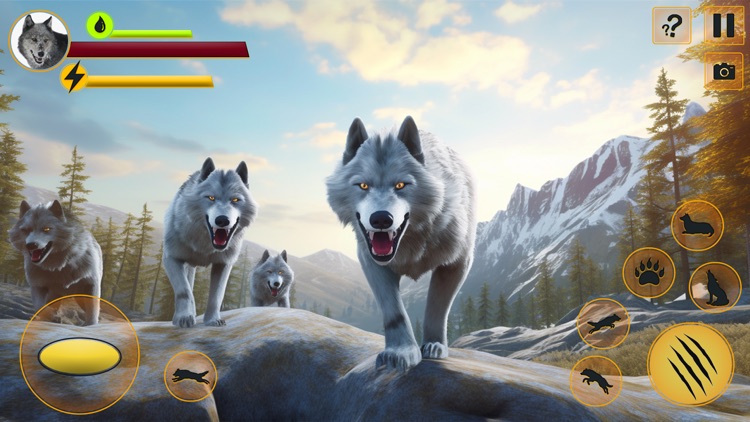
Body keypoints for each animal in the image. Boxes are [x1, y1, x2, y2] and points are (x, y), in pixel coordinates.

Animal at [163, 158, 257, 327]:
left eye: (235, 200)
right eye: (211, 198)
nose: (222, 220)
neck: (205, 247)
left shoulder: (223, 264)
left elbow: (217, 296)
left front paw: (213, 320)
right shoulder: (171, 258)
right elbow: (184, 291)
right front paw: (184, 318)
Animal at [327, 116, 477, 371]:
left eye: (400, 185)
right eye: (363, 186)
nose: (381, 219)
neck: (412, 245)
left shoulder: (456, 262)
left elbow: (437, 308)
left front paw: (435, 347)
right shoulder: (372, 263)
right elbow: (394, 312)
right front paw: (401, 352)